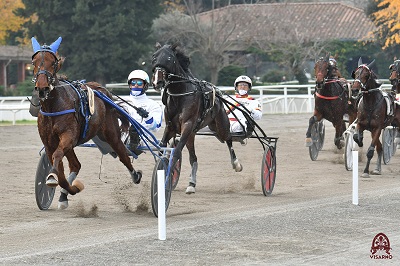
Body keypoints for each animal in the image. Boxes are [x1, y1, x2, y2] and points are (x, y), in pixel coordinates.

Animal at [31, 36, 141, 209]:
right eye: (34, 61)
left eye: (53, 62)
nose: (42, 88)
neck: (53, 106)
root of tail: (102, 90)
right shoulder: (49, 143)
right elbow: (60, 171)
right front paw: (70, 188)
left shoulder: (68, 136)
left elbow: (57, 157)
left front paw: (55, 179)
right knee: (76, 164)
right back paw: (64, 195)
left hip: (111, 134)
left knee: (123, 155)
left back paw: (136, 175)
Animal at [150, 43, 241, 193]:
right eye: (154, 57)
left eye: (169, 58)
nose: (158, 81)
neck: (180, 93)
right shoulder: (170, 127)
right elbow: (162, 148)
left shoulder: (187, 125)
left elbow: (176, 152)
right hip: (193, 134)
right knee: (194, 158)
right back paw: (191, 184)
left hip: (220, 125)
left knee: (228, 138)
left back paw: (236, 163)